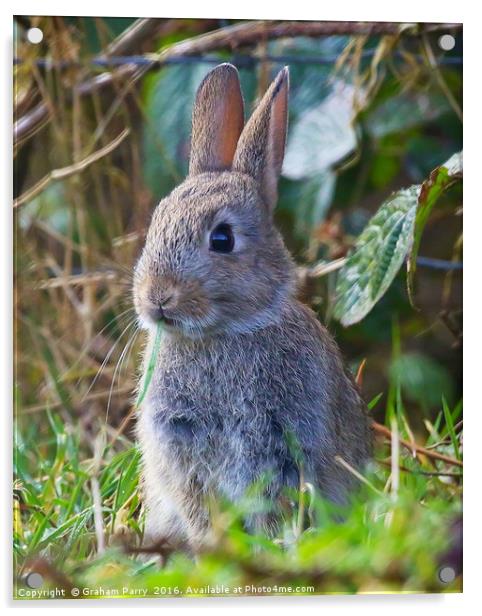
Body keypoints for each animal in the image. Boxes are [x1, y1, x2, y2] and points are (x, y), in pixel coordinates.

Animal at [134, 63, 370, 552]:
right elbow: (199, 506)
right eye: (155, 224)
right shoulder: (181, 453)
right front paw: (213, 548)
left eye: (222, 239)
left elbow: (276, 505)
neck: (223, 333)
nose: (156, 298)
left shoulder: (284, 446)